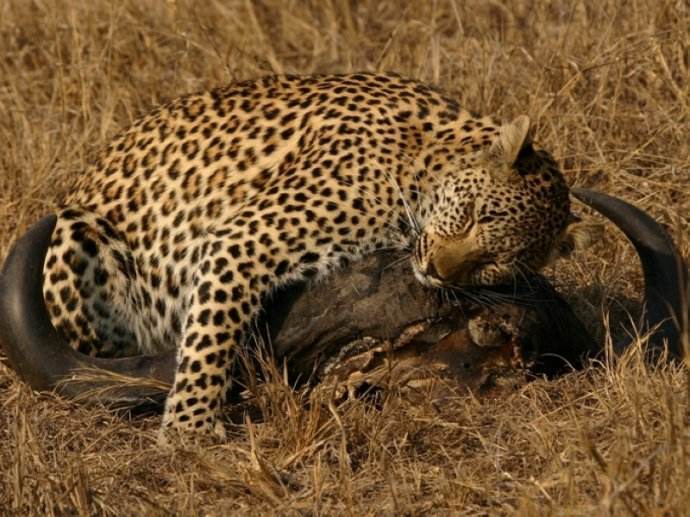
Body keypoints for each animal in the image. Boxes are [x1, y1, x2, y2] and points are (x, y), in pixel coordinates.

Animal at [41, 72, 580, 436]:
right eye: (471, 216)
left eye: (495, 266)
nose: (436, 271)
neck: (424, 155)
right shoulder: (242, 237)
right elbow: (211, 336)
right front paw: (188, 427)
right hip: (76, 233)